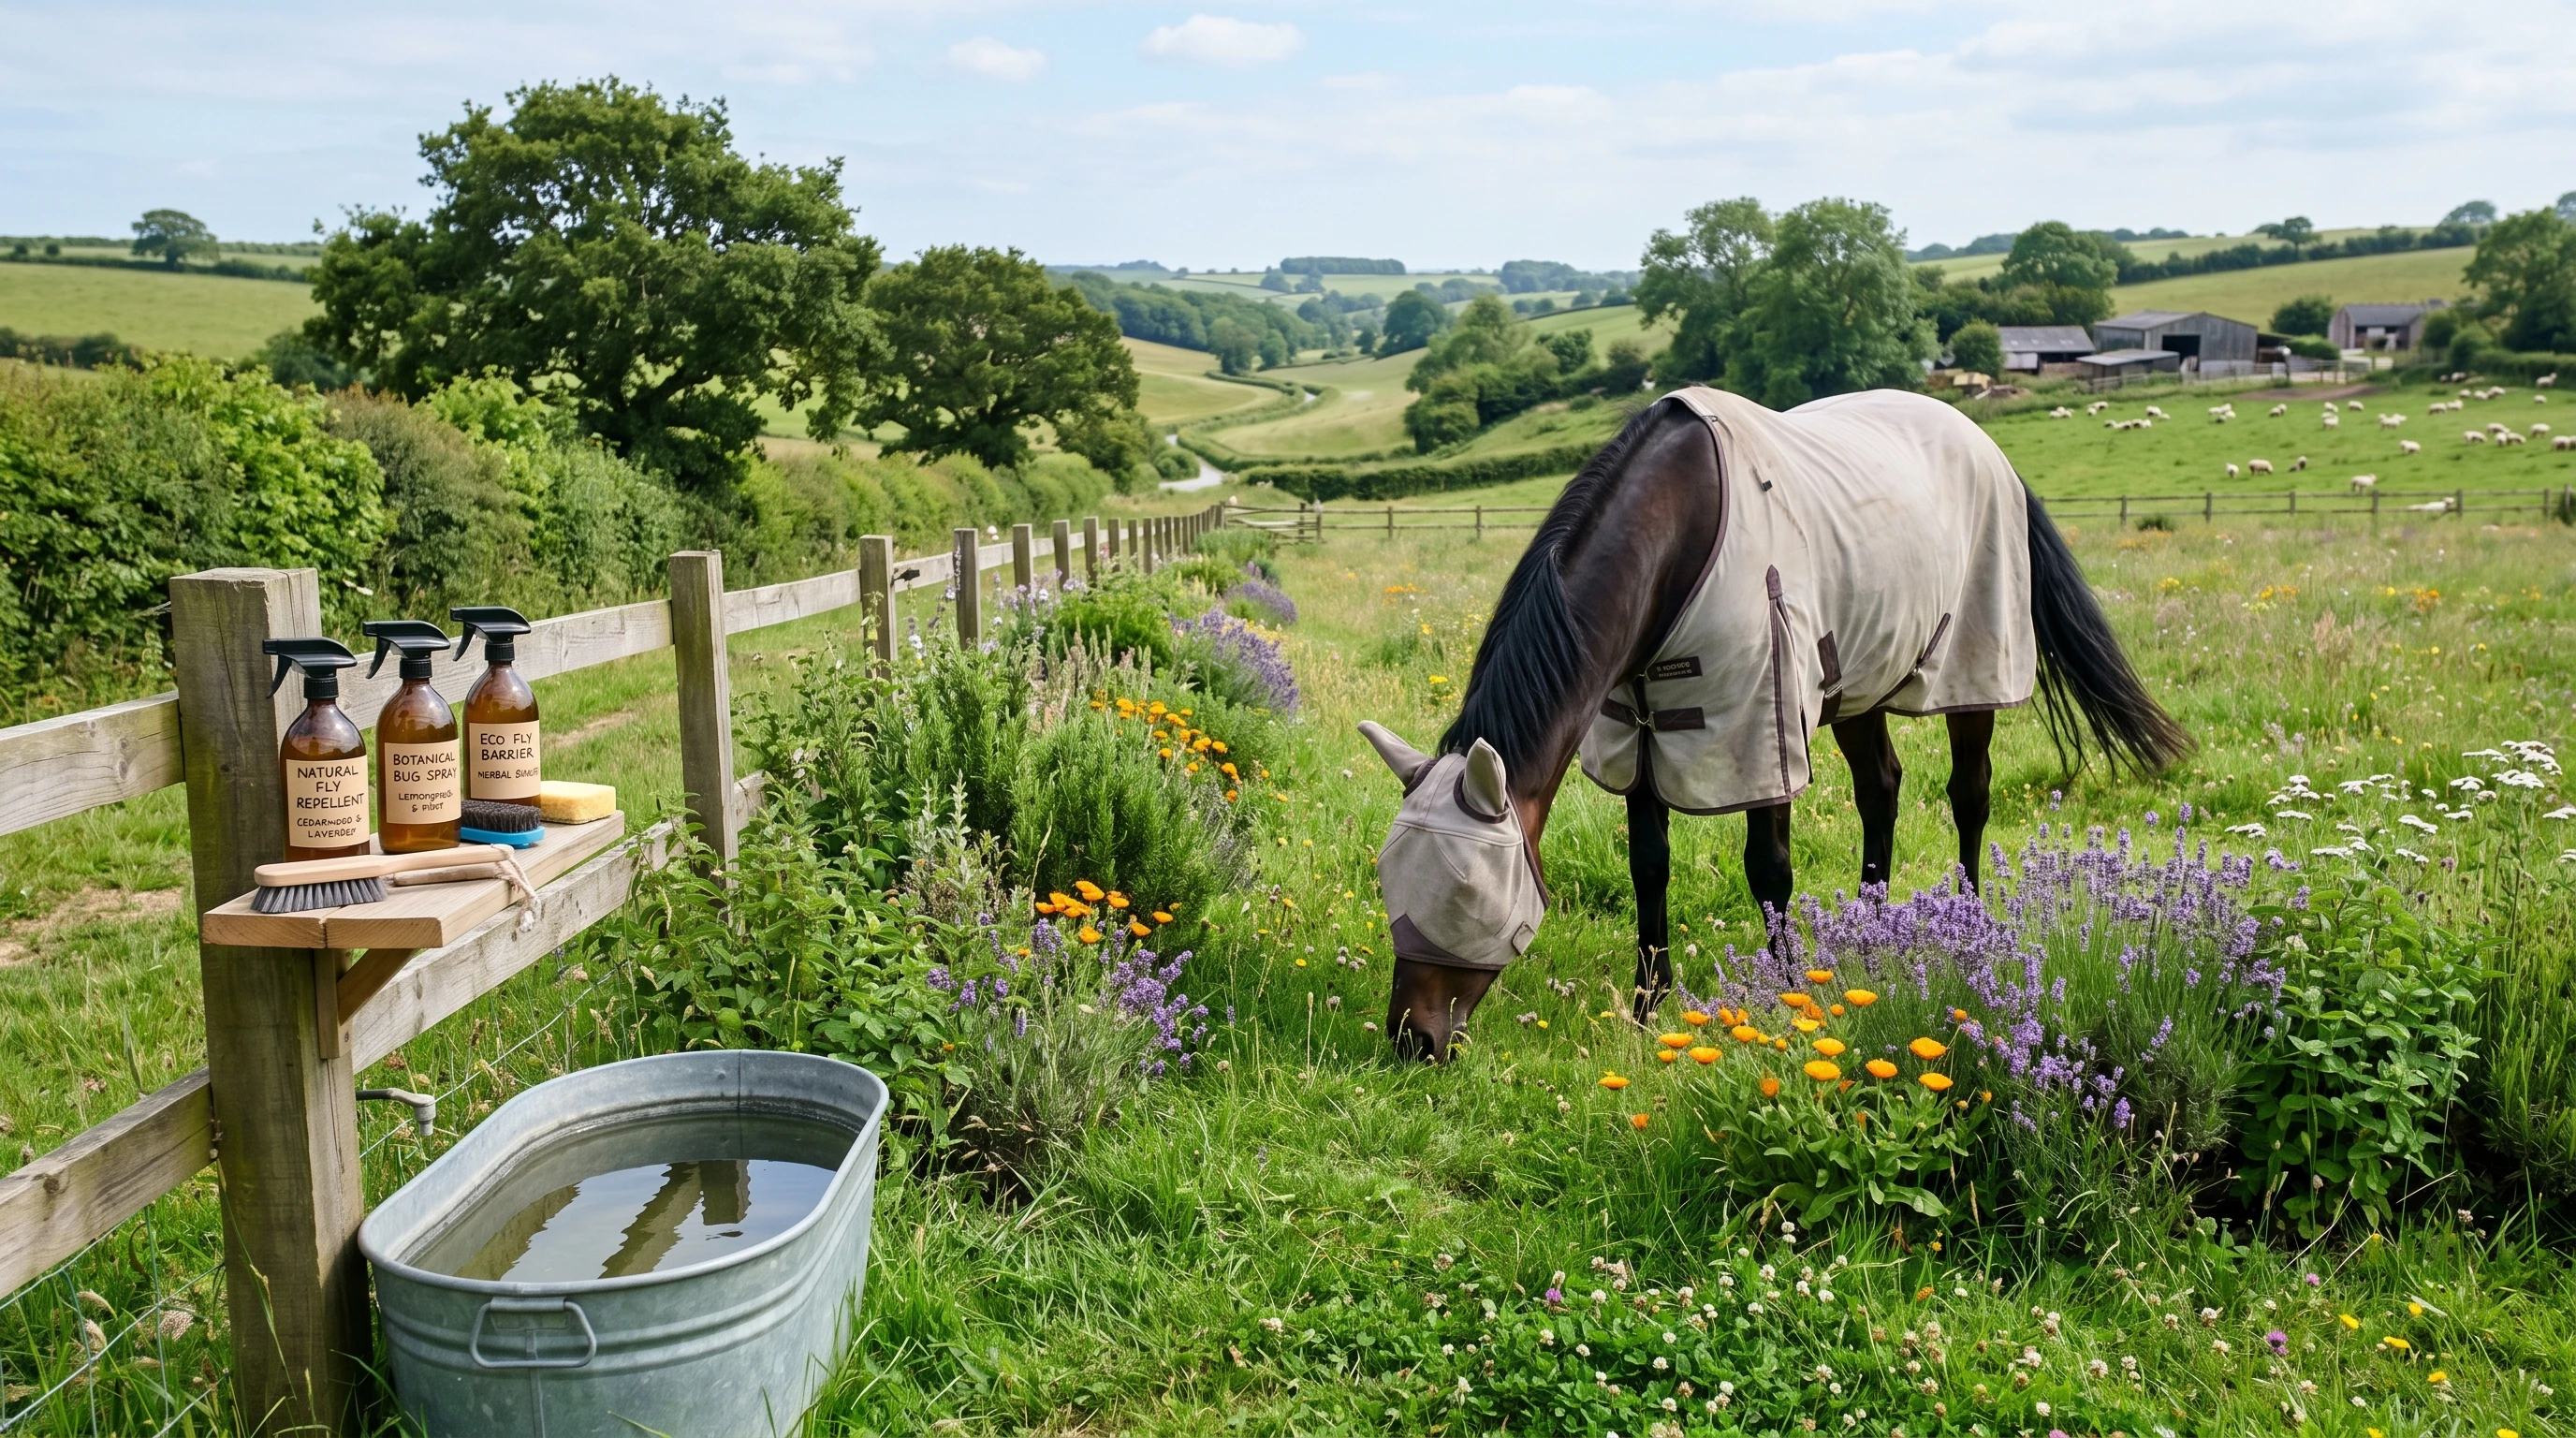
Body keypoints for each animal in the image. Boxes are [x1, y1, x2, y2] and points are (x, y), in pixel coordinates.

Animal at [1361, 386, 2188, 1063]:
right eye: (1388, 877)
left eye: (1465, 893)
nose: (1413, 1041)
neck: (1682, 530)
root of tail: (1988, 448)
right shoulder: (1639, 731)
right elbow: (1648, 864)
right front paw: (1649, 1006)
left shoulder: (1761, 729)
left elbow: (1769, 871)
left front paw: (1789, 1001)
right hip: (1857, 681)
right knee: (1881, 787)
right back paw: (1872, 936)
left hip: (1969, 673)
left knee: (1969, 794)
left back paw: (1968, 921)